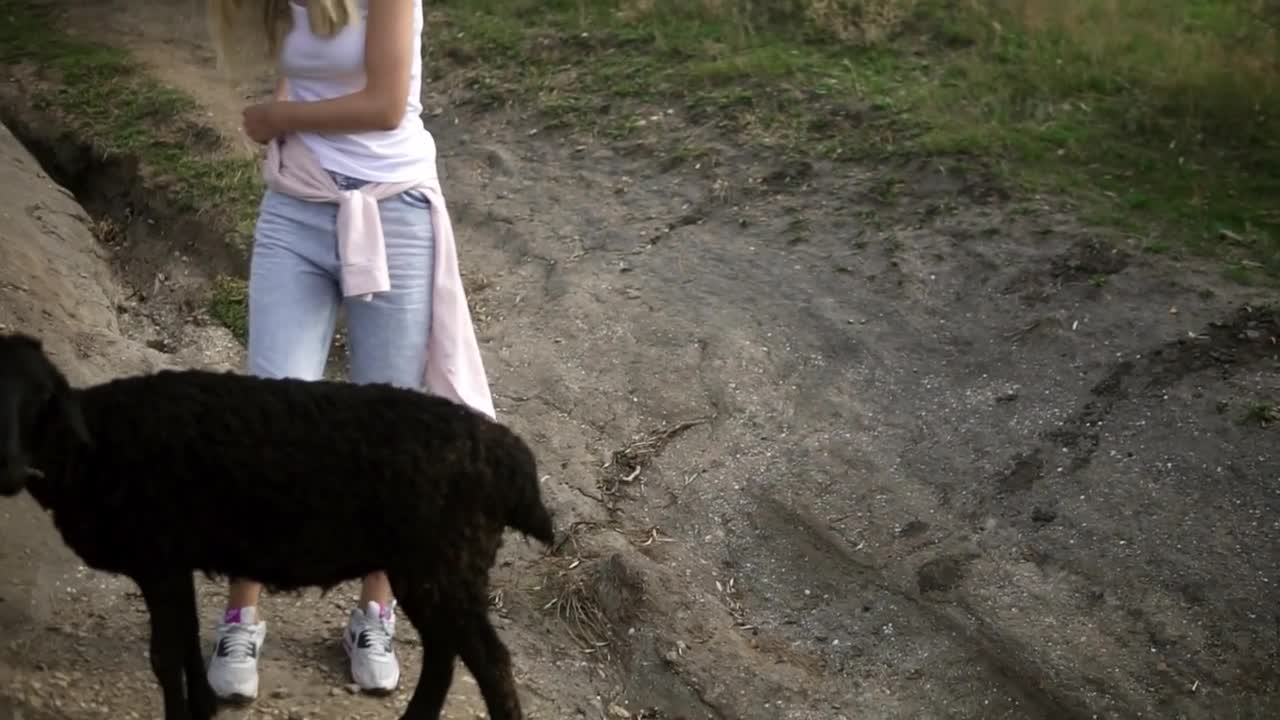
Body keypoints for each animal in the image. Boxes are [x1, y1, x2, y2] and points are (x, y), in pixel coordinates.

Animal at [0, 333, 555, 712]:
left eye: (40, 402)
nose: (8, 470)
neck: (92, 449)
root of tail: (507, 456)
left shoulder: (157, 559)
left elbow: (165, 655)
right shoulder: (173, 563)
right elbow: (185, 645)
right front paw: (205, 708)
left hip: (444, 565)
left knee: (489, 663)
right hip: (432, 570)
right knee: (445, 654)